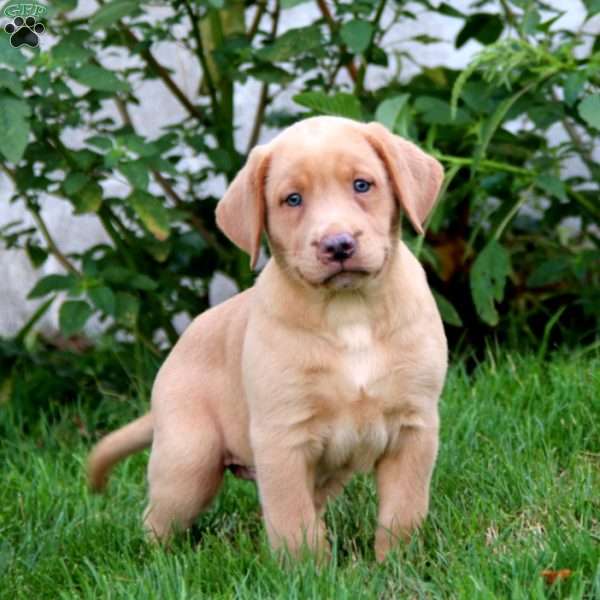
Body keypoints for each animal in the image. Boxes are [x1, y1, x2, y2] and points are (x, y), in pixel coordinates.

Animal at [88, 117, 446, 564]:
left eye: (362, 185)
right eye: (292, 199)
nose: (338, 245)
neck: (350, 312)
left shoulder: (415, 428)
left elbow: (403, 511)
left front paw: (397, 564)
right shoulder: (283, 439)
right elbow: (292, 522)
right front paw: (309, 573)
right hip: (188, 462)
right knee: (159, 520)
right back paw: (158, 562)